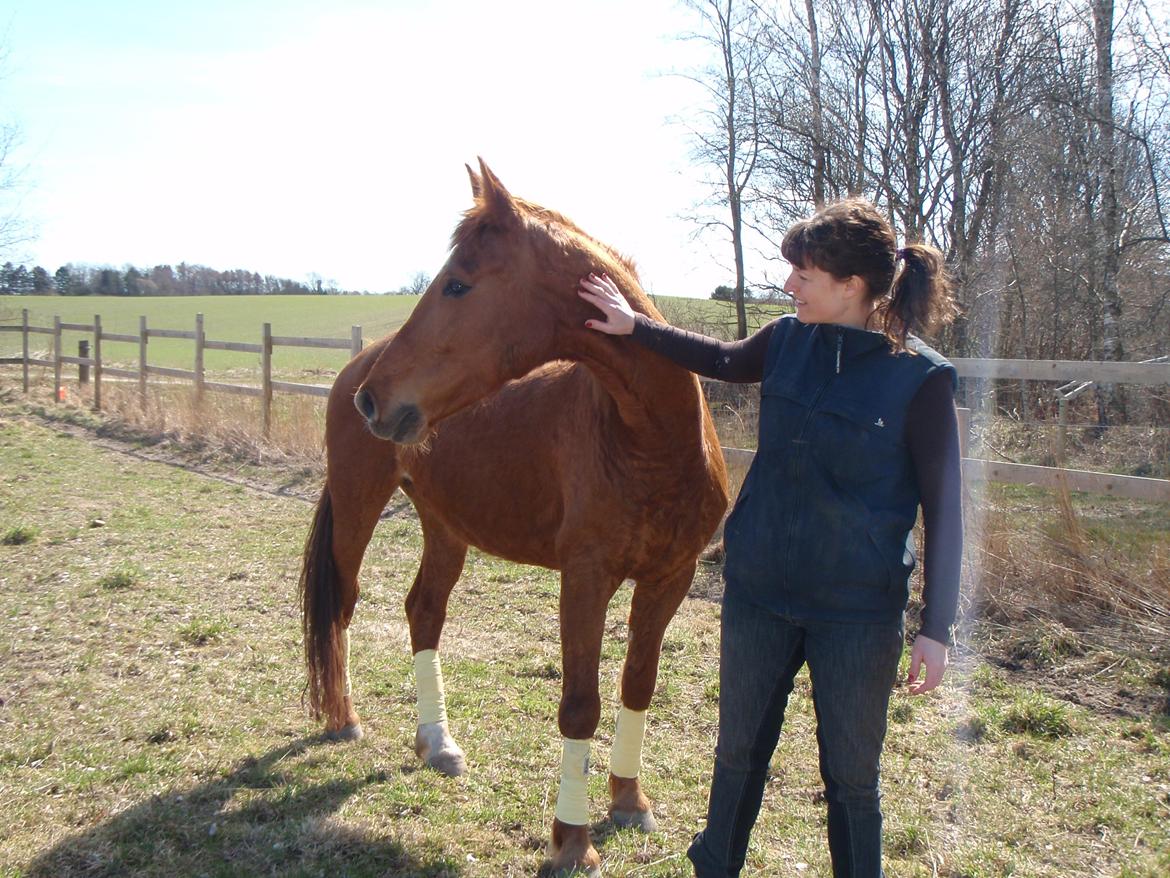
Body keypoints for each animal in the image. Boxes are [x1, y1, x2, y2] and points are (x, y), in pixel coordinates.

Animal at [297, 161, 725, 875]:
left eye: (458, 283)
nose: (373, 399)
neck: (648, 441)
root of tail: (352, 367)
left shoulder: (671, 577)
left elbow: (637, 685)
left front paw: (629, 802)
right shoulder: (585, 579)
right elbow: (580, 705)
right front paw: (572, 840)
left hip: (446, 527)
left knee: (423, 611)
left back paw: (437, 744)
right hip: (359, 504)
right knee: (343, 602)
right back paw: (344, 718)